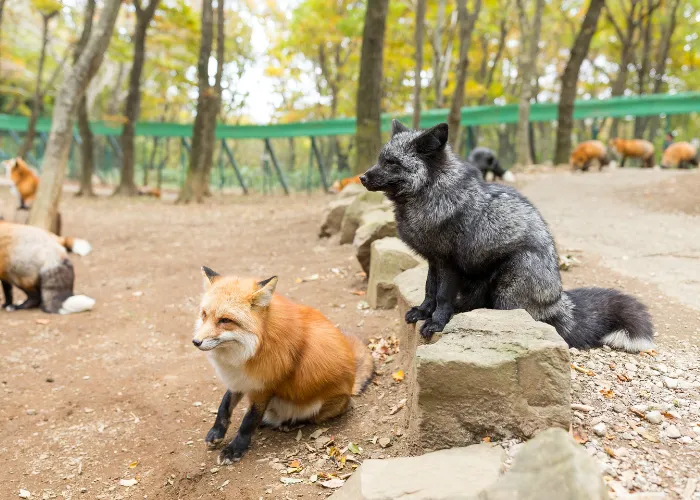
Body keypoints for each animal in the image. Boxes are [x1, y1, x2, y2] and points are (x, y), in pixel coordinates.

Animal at [360, 119, 656, 352]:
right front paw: (423, 312)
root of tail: (557, 300)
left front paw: (437, 322)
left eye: (392, 163)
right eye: (380, 159)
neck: (431, 194)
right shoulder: (433, 260)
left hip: (507, 289)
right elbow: (429, 291)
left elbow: (442, 296)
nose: (362, 177)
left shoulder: (448, 262)